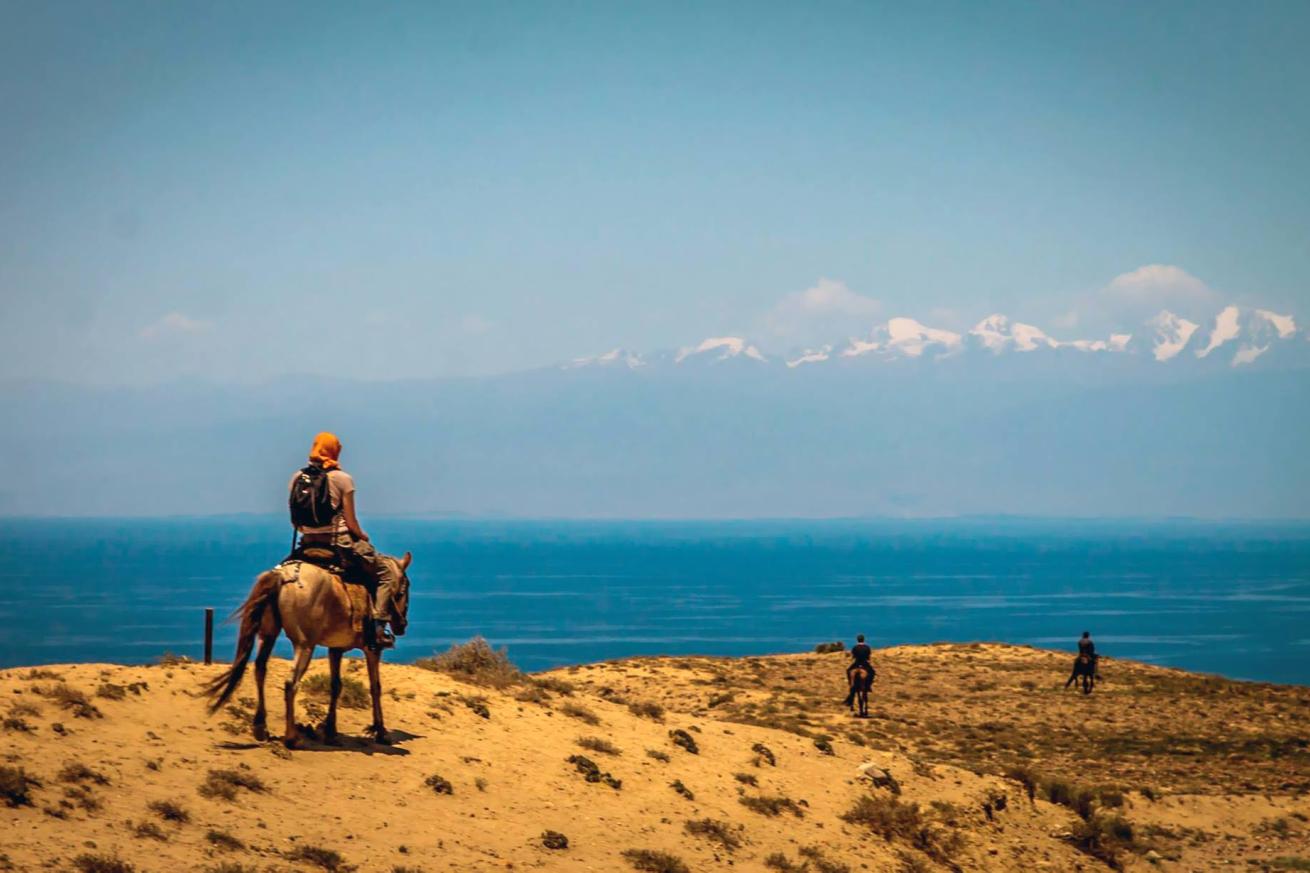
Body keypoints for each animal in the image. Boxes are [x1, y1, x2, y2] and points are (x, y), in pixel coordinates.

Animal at [201, 550, 408, 749]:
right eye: (404, 588)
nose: (401, 626)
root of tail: (282, 576)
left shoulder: (336, 649)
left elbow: (336, 686)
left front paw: (331, 732)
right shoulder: (372, 649)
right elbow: (375, 687)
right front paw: (381, 733)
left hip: (268, 634)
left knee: (260, 669)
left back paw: (261, 728)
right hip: (305, 645)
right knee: (290, 683)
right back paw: (291, 738)